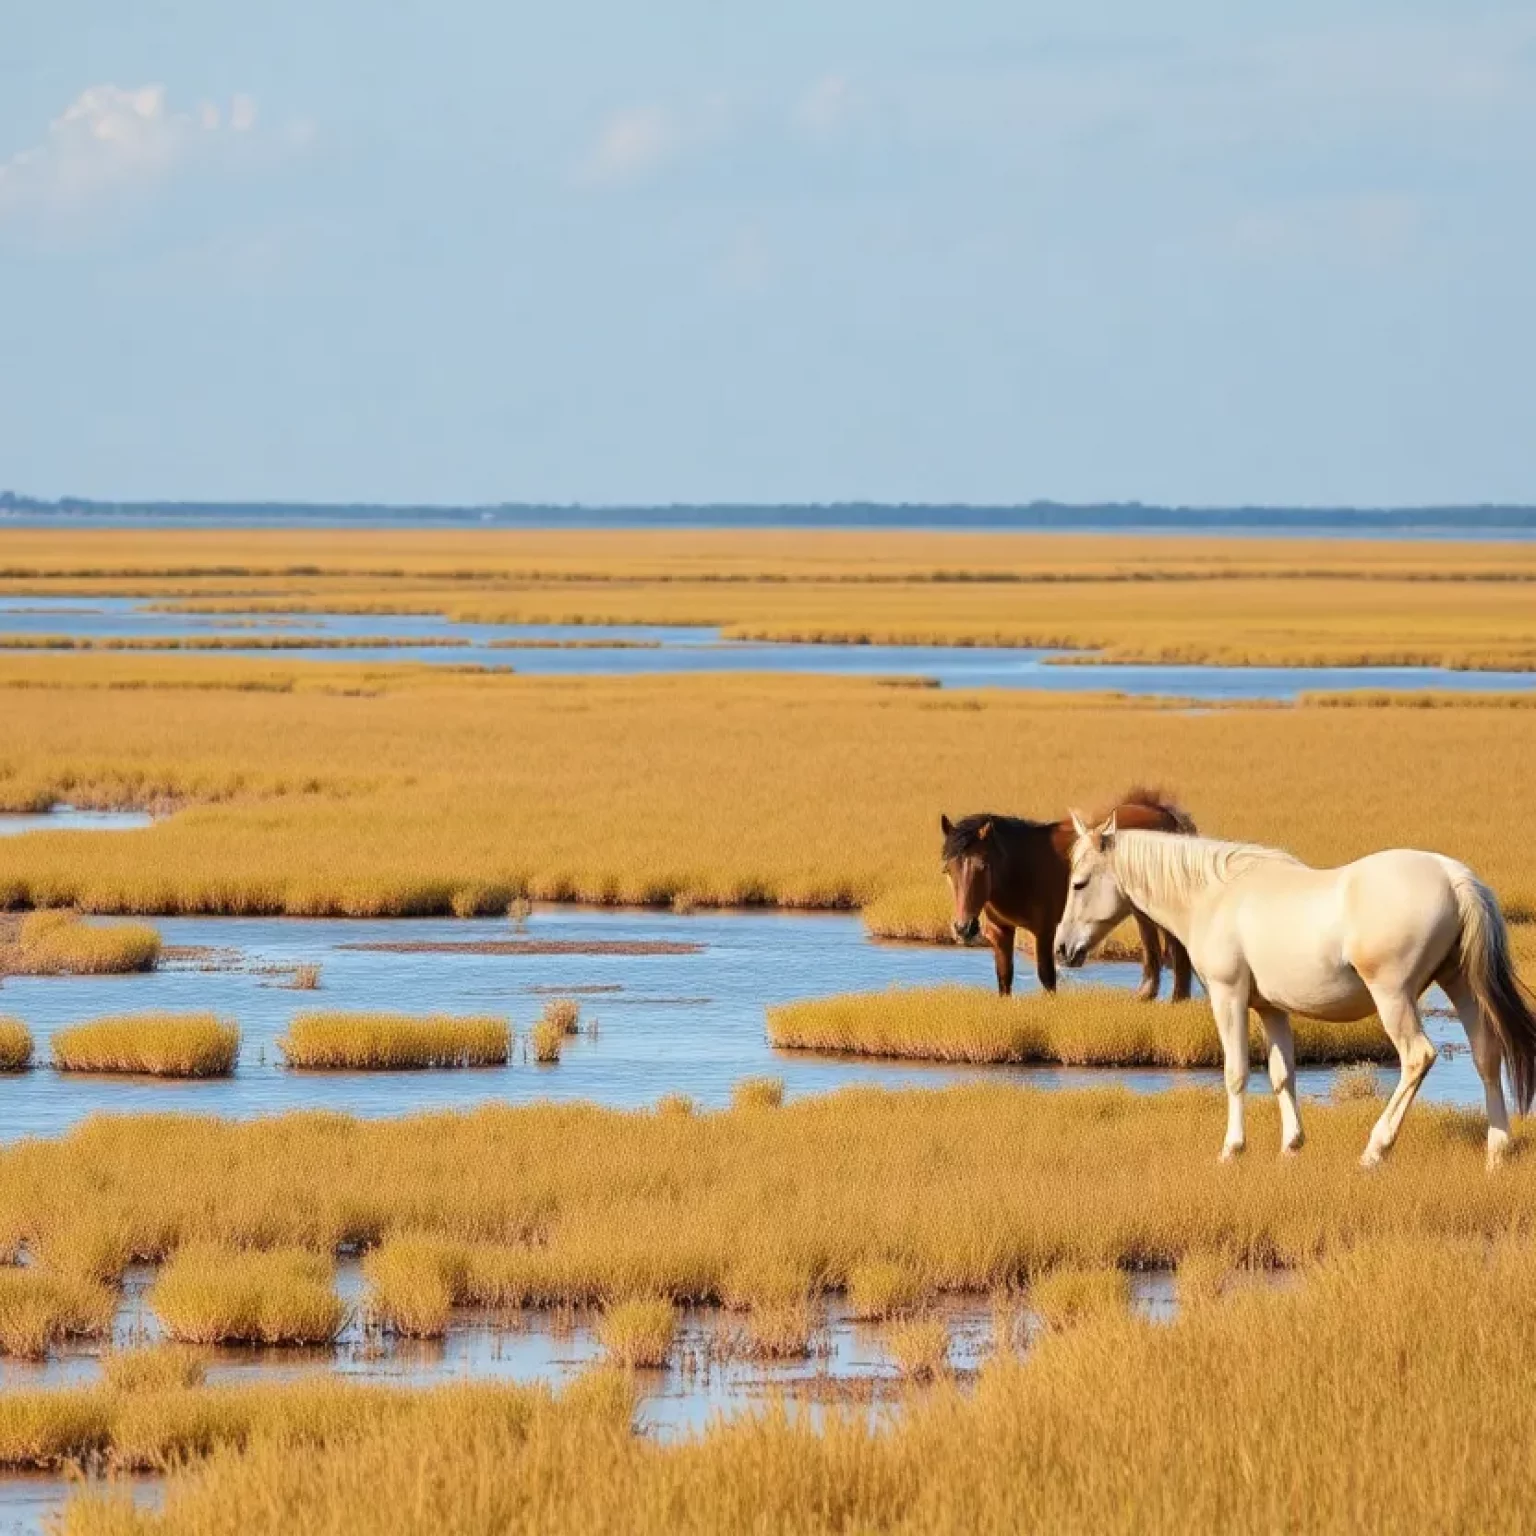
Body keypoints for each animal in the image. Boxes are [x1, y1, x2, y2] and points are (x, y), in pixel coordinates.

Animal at [933, 786, 1198, 1001]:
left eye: (983, 866)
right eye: (947, 870)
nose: (964, 928)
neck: (1020, 869)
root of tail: (1164, 815)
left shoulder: (1046, 932)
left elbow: (1047, 978)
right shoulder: (1001, 932)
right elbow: (1004, 980)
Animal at [1056, 823, 1536, 1167]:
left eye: (1079, 883)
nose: (1062, 949)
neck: (1214, 896)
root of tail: (1452, 877)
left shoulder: (1228, 997)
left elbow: (1236, 1072)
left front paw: (1232, 1149)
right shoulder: (1271, 1010)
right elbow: (1281, 1073)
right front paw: (1291, 1145)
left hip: (1394, 996)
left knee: (1418, 1056)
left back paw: (1375, 1150)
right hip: (1460, 985)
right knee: (1486, 1055)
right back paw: (1497, 1150)